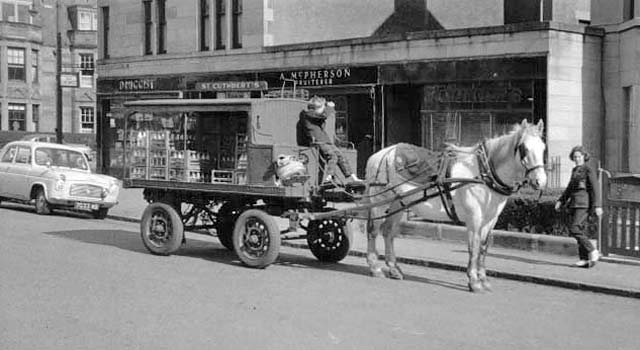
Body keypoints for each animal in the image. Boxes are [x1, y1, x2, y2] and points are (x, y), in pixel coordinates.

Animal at [362, 119, 548, 292]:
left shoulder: (491, 219)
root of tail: (379, 155)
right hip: (381, 201)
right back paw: (375, 267)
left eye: (543, 148)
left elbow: (484, 247)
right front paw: (474, 281)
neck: (483, 173)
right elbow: (473, 247)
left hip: (397, 204)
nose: (540, 181)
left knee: (388, 233)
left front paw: (483, 279)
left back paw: (394, 268)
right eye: (523, 148)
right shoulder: (474, 218)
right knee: (373, 231)